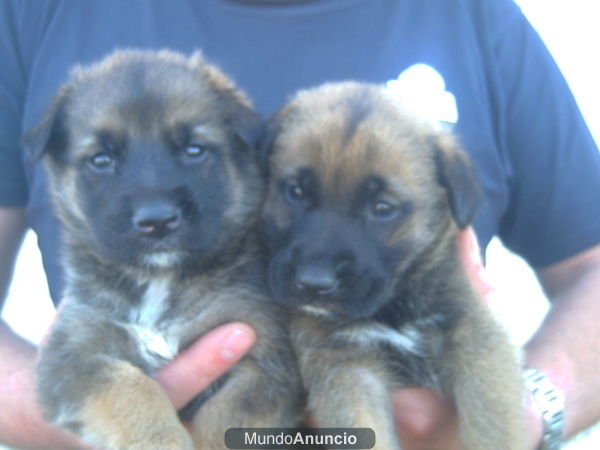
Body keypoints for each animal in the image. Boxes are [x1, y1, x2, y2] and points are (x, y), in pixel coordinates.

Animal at [25, 50, 302, 450]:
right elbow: (130, 390)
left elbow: (224, 422)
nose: (156, 220)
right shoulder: (73, 357)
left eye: (194, 150)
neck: (160, 278)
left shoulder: (267, 359)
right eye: (100, 160)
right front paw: (161, 439)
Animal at [260, 81, 528, 450]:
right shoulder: (347, 368)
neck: (395, 308)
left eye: (382, 207)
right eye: (295, 192)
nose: (314, 282)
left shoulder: (475, 338)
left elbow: (494, 424)